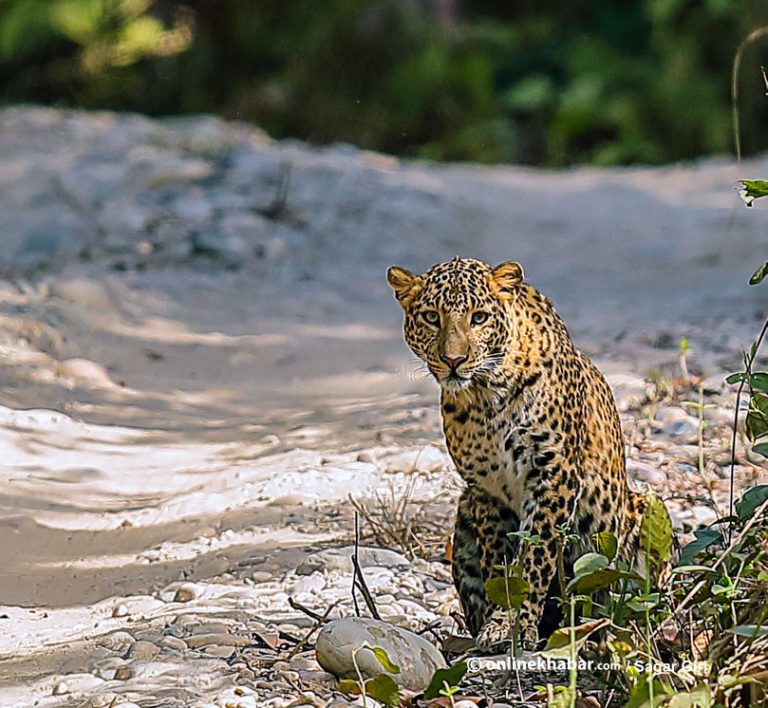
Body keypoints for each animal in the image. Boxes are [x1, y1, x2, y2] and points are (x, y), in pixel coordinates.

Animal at [388, 254, 656, 652]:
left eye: (479, 317)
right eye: (432, 317)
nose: (453, 360)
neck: (484, 395)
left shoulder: (554, 475)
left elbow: (535, 555)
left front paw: (514, 625)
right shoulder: (485, 489)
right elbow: (498, 563)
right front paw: (500, 622)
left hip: (639, 511)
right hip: (463, 514)